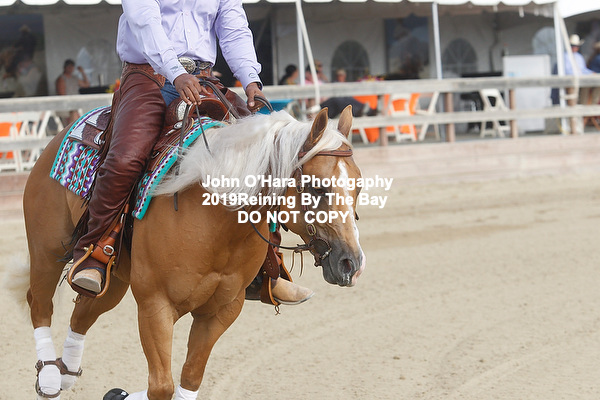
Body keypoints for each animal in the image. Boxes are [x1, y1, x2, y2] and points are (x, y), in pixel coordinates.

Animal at [21, 105, 365, 399]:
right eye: (317, 187)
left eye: (359, 187)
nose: (351, 263)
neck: (215, 221)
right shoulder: (155, 306)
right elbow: (161, 386)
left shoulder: (222, 310)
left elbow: (189, 378)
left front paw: (118, 393)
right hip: (46, 252)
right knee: (39, 303)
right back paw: (50, 376)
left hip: (114, 279)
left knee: (84, 311)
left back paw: (67, 372)